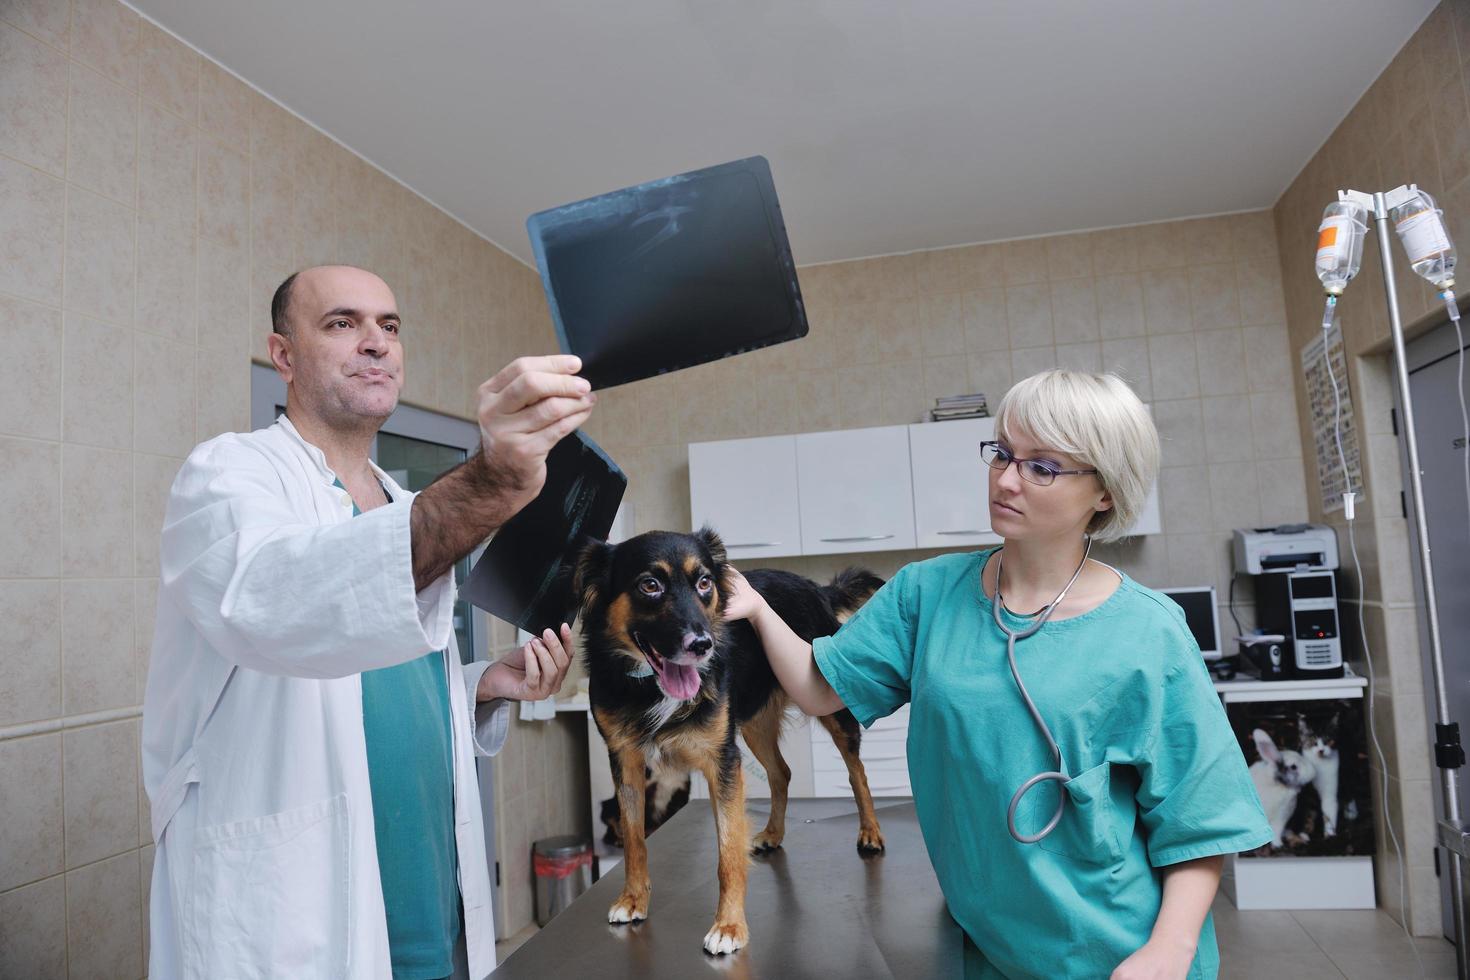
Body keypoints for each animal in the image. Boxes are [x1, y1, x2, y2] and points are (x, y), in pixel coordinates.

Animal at [576, 528, 882, 957]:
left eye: (704, 582)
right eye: (649, 585)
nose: (703, 645)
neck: (651, 688)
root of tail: (815, 587)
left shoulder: (721, 759)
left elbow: (727, 854)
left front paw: (730, 926)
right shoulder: (625, 760)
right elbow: (635, 839)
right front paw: (633, 900)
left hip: (827, 703)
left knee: (857, 771)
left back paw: (870, 832)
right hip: (753, 722)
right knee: (782, 772)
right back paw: (773, 833)